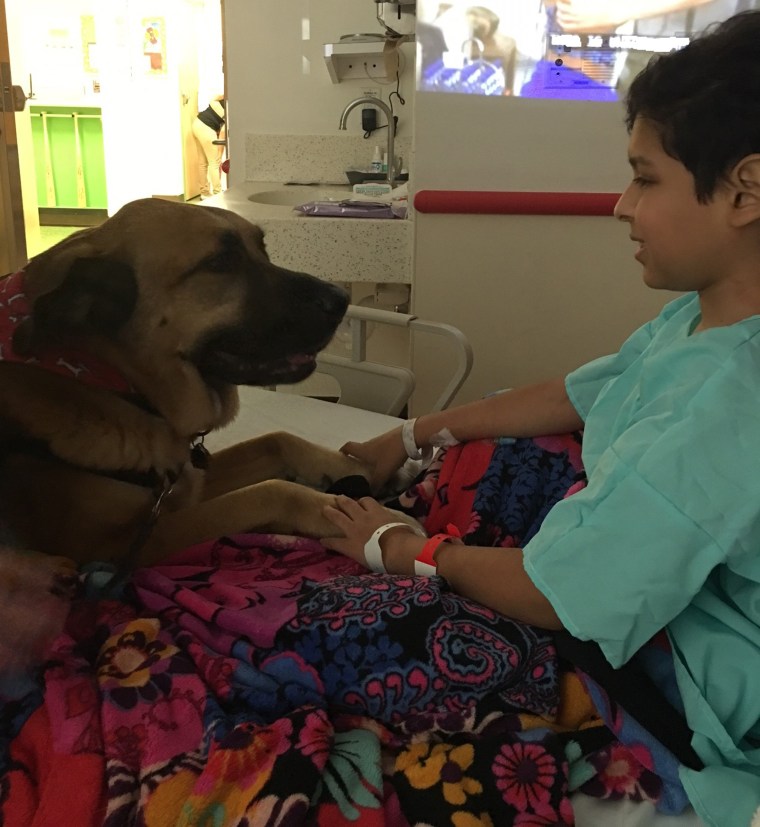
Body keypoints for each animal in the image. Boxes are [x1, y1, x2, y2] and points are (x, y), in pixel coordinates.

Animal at [0, 197, 386, 572]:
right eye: (221, 261)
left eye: (263, 248)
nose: (341, 299)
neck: (113, 381)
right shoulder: (122, 545)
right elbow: (271, 491)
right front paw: (361, 518)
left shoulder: (191, 482)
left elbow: (277, 440)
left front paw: (350, 466)